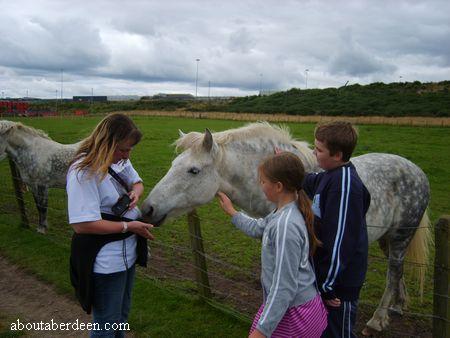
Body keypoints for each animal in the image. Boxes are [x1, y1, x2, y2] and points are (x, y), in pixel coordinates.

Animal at [141, 121, 428, 332]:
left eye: (193, 170)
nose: (147, 209)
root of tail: (416, 170)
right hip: (387, 239)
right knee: (398, 272)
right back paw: (397, 306)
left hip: (401, 237)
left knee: (393, 272)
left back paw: (378, 320)